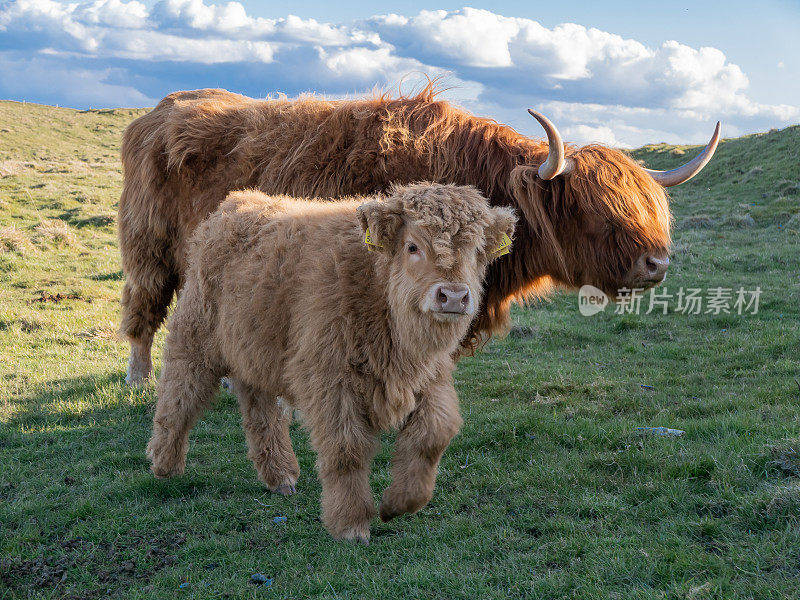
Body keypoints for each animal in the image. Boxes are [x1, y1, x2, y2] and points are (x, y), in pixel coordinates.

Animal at [120, 85, 724, 384]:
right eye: (591, 209)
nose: (656, 263)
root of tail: (163, 108)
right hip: (149, 246)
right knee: (143, 308)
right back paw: (137, 376)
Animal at [146, 184, 516, 544]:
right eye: (413, 246)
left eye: (476, 250)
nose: (453, 296)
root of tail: (236, 203)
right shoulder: (331, 379)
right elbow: (346, 450)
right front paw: (351, 525)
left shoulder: (430, 376)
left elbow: (434, 434)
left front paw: (398, 503)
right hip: (196, 339)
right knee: (178, 397)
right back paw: (164, 464)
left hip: (256, 350)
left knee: (261, 413)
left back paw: (280, 476)